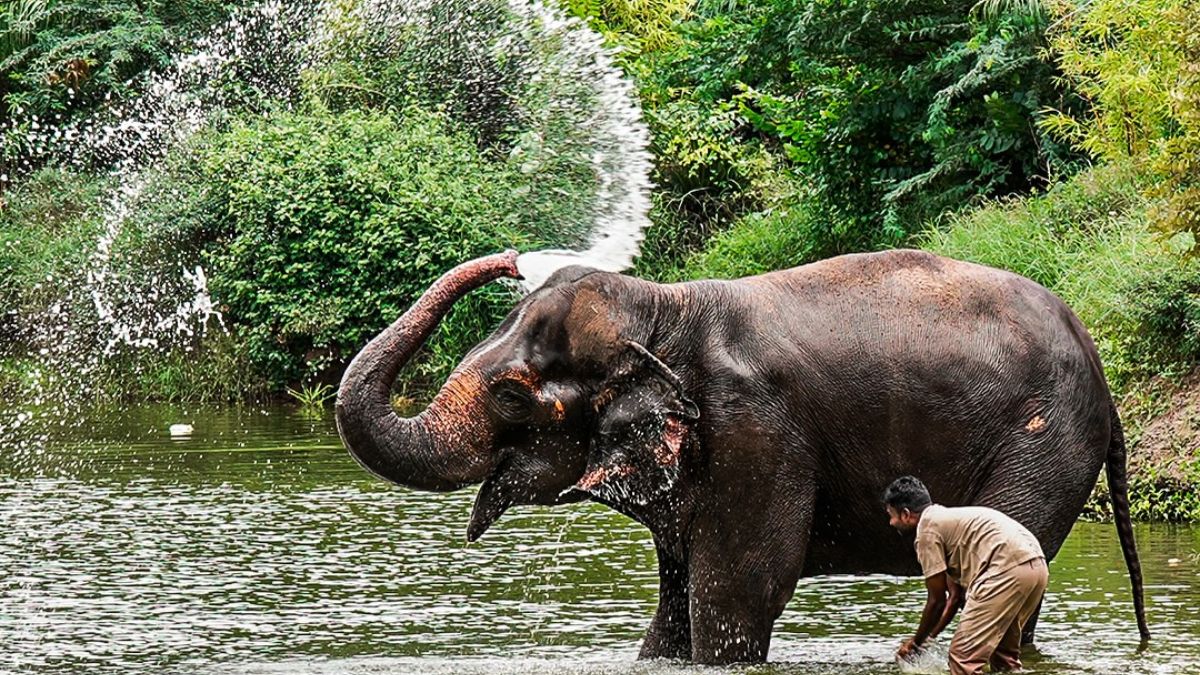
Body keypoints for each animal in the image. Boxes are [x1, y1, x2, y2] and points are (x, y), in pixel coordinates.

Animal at [335, 248, 1150, 665]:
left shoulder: (757, 433)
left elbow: (738, 590)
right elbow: (677, 597)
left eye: (509, 395)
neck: (663, 305)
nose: (510, 260)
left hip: (1043, 444)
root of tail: (1103, 376)